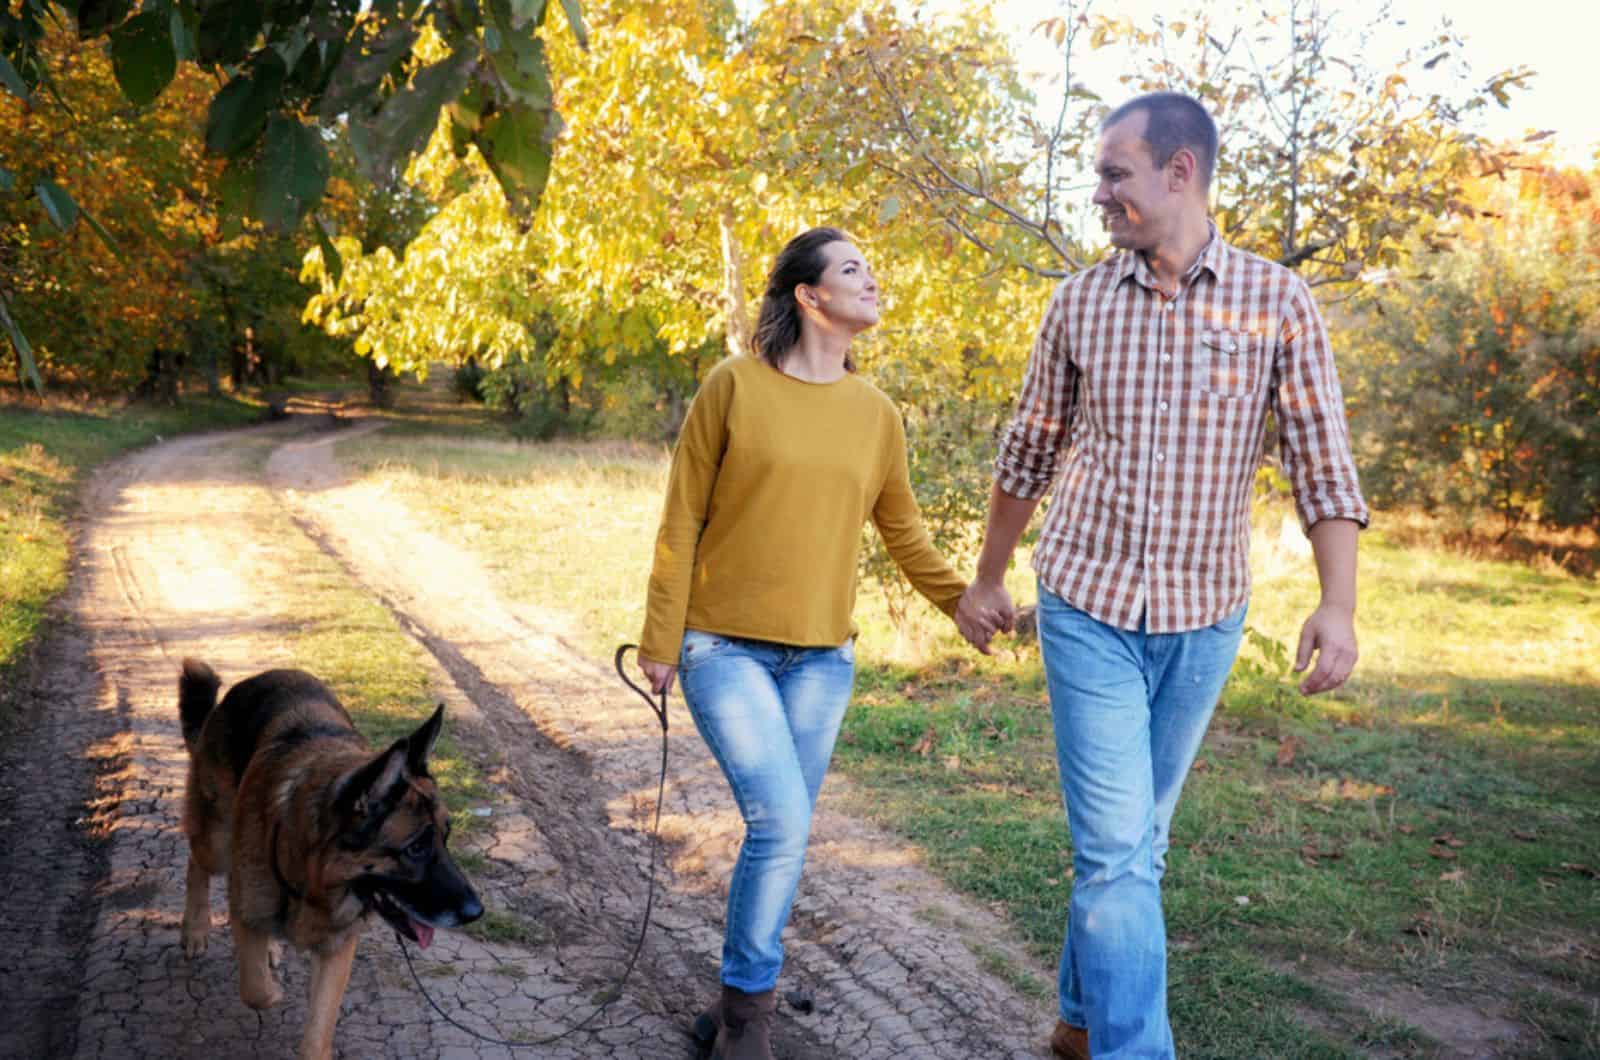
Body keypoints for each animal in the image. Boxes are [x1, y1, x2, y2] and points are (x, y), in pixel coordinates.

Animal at [177, 659, 480, 1056]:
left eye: (446, 837)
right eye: (415, 848)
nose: (477, 913)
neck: (314, 877)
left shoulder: (337, 950)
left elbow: (318, 1031)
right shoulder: (246, 911)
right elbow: (256, 988)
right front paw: (273, 991)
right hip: (217, 841)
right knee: (196, 862)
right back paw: (195, 930)